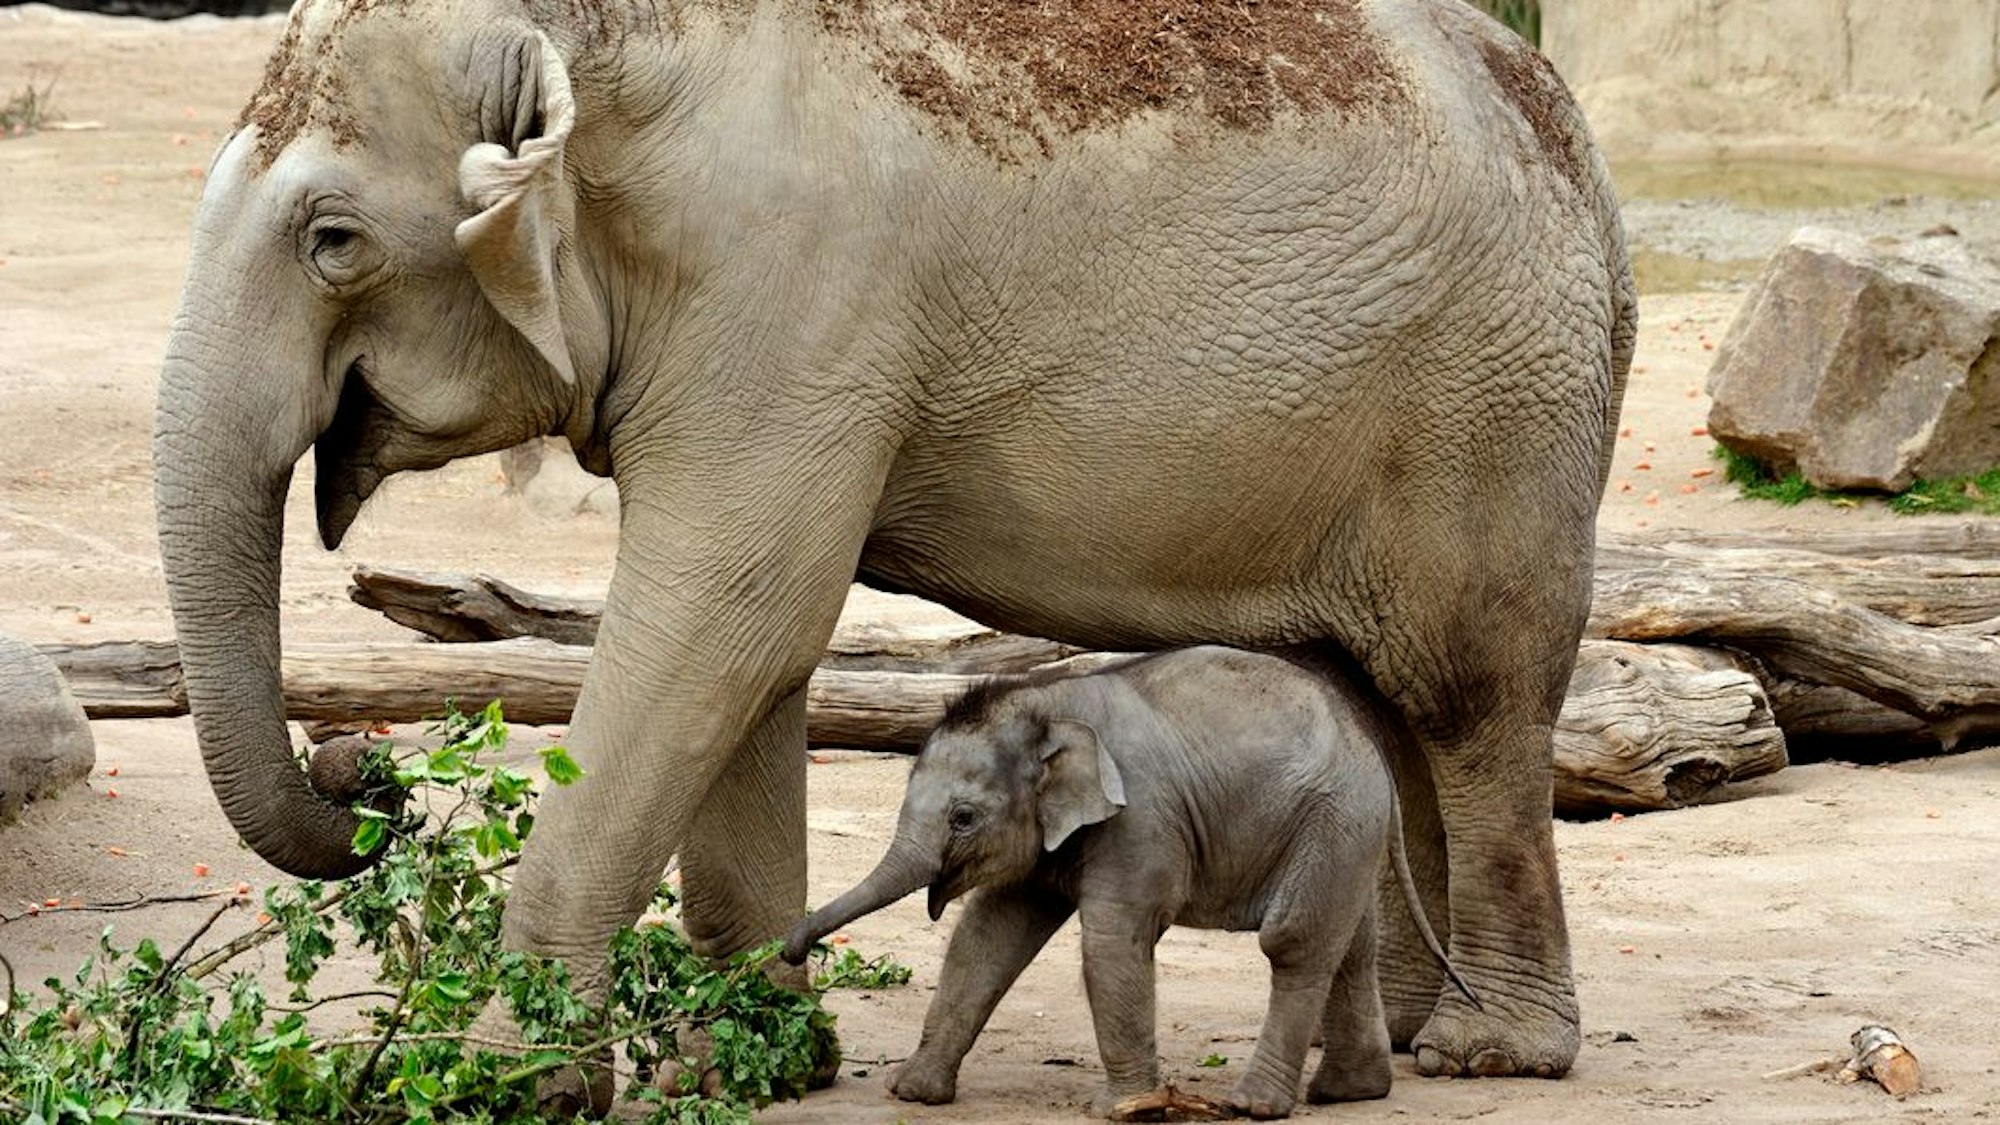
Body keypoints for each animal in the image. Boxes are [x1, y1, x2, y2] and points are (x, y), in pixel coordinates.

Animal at [780, 647, 1480, 1119]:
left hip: (1332, 820)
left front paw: (1124, 1110)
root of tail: (1374, 752)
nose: (788, 950)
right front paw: (913, 1093)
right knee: (1350, 946)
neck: (1050, 700)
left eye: (963, 818)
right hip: (1344, 835)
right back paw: (1349, 1092)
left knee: (1295, 943)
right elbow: (989, 935)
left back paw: (1253, 1105)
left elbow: (1114, 941)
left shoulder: (1141, 817)